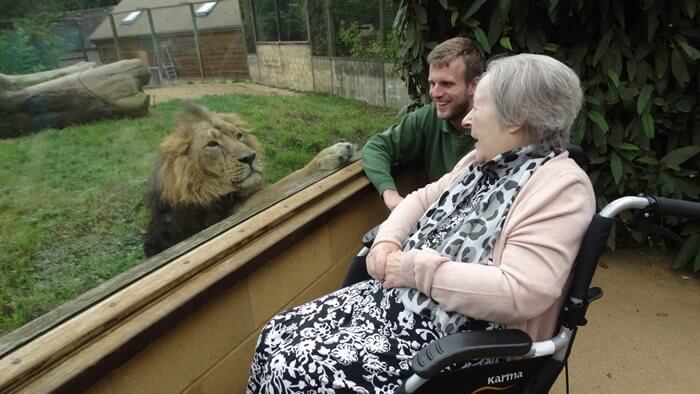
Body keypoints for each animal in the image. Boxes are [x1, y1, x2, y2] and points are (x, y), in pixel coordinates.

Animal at [146, 103, 358, 258]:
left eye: (238, 135)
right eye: (212, 144)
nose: (250, 157)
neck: (209, 187)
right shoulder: (233, 211)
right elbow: (290, 180)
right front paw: (333, 154)